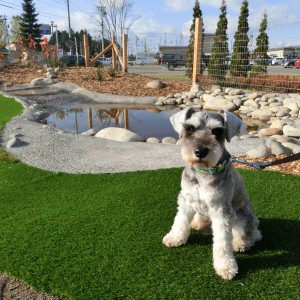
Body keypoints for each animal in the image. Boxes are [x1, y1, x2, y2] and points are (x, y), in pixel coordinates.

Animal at [163, 106, 262, 280]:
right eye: (190, 128)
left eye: (217, 131)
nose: (200, 151)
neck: (203, 171)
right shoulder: (185, 200)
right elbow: (180, 220)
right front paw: (175, 238)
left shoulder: (221, 209)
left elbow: (222, 241)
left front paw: (226, 266)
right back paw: (197, 222)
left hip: (243, 217)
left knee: (248, 234)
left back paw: (240, 243)